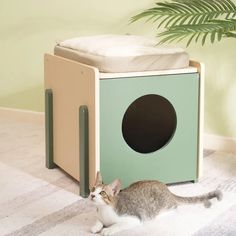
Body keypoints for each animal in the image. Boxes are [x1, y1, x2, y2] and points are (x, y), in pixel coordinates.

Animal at [89, 171, 222, 236]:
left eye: (102, 193)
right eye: (93, 189)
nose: (92, 195)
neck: (104, 209)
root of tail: (167, 189)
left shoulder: (134, 218)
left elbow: (118, 225)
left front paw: (108, 230)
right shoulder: (99, 215)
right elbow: (98, 220)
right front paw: (96, 226)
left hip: (162, 206)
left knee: (174, 208)